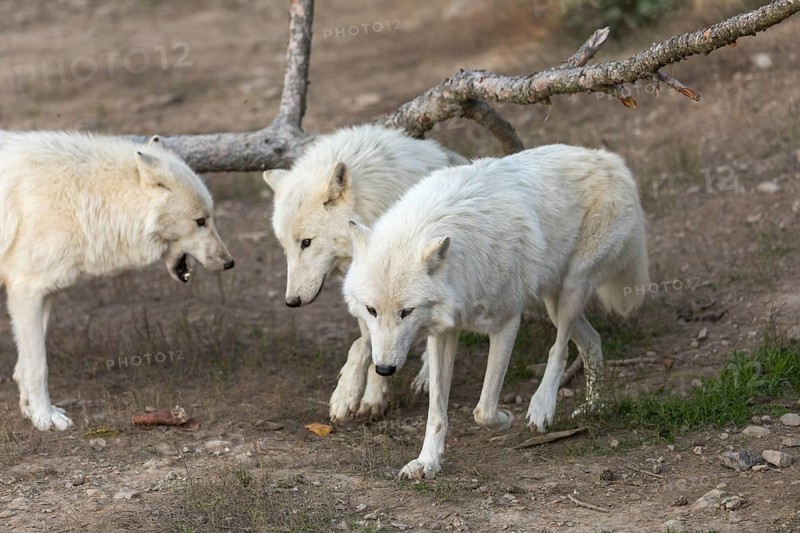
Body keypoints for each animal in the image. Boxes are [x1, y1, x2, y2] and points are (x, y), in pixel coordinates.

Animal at [0, 131, 234, 431]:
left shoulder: (44, 292)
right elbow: (38, 365)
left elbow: (25, 364)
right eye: (200, 221)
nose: (230, 263)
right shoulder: (26, 291)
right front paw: (44, 418)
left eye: (210, 218)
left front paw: (31, 409)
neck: (86, 197)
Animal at [263, 124, 468, 422]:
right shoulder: (367, 298)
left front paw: (354, 395)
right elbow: (368, 343)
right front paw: (364, 395)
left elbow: (365, 344)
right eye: (284, 247)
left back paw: (425, 379)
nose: (291, 301)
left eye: (306, 242)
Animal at [344, 144, 648, 479]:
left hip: (571, 290)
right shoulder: (444, 332)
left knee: (560, 349)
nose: (384, 369)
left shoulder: (507, 322)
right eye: (371, 310)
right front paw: (428, 462)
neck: (460, 270)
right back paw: (596, 406)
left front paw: (505, 419)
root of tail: (611, 160)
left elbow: (483, 410)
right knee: (592, 340)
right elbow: (436, 409)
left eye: (406, 312)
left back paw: (542, 407)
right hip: (554, 302)